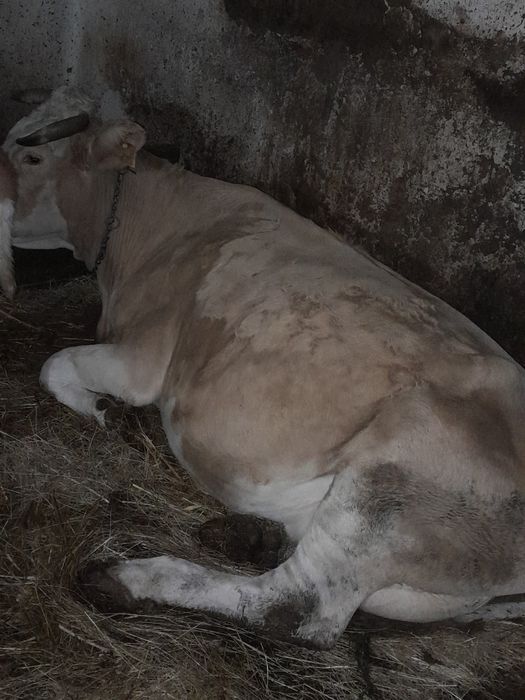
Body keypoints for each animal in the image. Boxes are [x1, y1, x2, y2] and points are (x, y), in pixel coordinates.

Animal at [3, 88, 525, 649]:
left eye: (32, 158)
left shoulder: (143, 359)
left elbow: (55, 366)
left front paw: (104, 411)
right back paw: (255, 537)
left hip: (389, 485)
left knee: (298, 607)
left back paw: (133, 578)